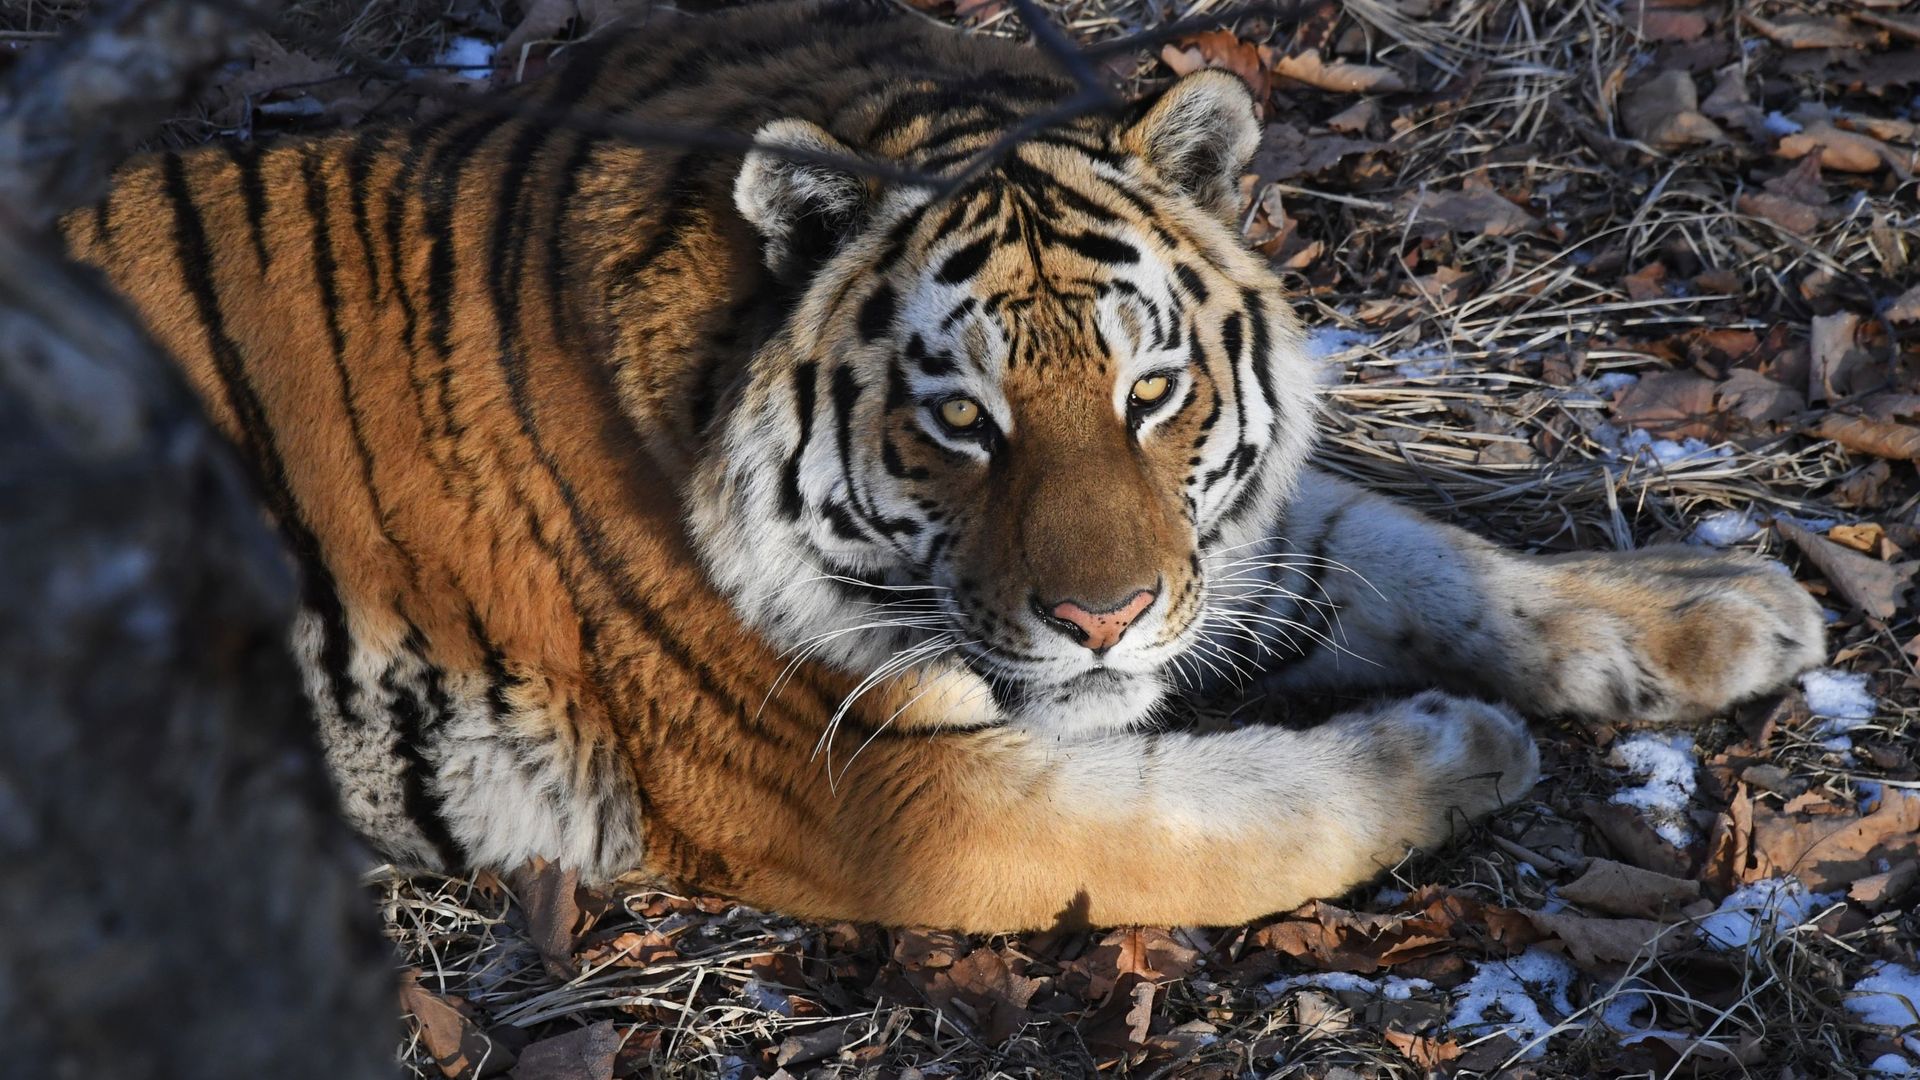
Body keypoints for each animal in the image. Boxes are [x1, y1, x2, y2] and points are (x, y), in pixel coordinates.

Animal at [59, 0, 1826, 932]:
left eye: (1152, 391)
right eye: (962, 420)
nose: (1106, 622)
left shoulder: (1216, 548)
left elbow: (1420, 553)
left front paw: (1727, 610)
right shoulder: (890, 791)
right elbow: (1225, 818)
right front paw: (1452, 749)